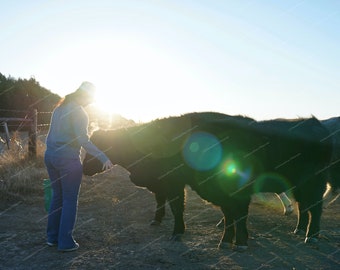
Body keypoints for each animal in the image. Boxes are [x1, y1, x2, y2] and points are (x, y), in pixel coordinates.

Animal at [83, 112, 332, 251]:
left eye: (97, 148)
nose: (84, 169)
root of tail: (313, 123)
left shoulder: (178, 184)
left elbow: (180, 207)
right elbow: (227, 214)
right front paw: (226, 240)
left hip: (313, 183)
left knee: (316, 208)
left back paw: (312, 236)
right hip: (300, 185)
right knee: (304, 207)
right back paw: (300, 230)